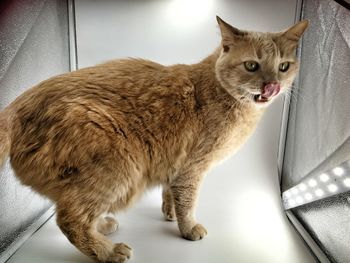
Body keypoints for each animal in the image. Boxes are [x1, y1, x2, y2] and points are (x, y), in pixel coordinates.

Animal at [0, 17, 306, 262]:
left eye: (283, 66)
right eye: (252, 65)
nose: (272, 85)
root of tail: (14, 109)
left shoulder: (176, 163)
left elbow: (170, 192)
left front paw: (169, 213)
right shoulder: (193, 167)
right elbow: (188, 202)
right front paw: (188, 228)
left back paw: (102, 227)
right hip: (118, 166)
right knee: (69, 219)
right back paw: (108, 251)